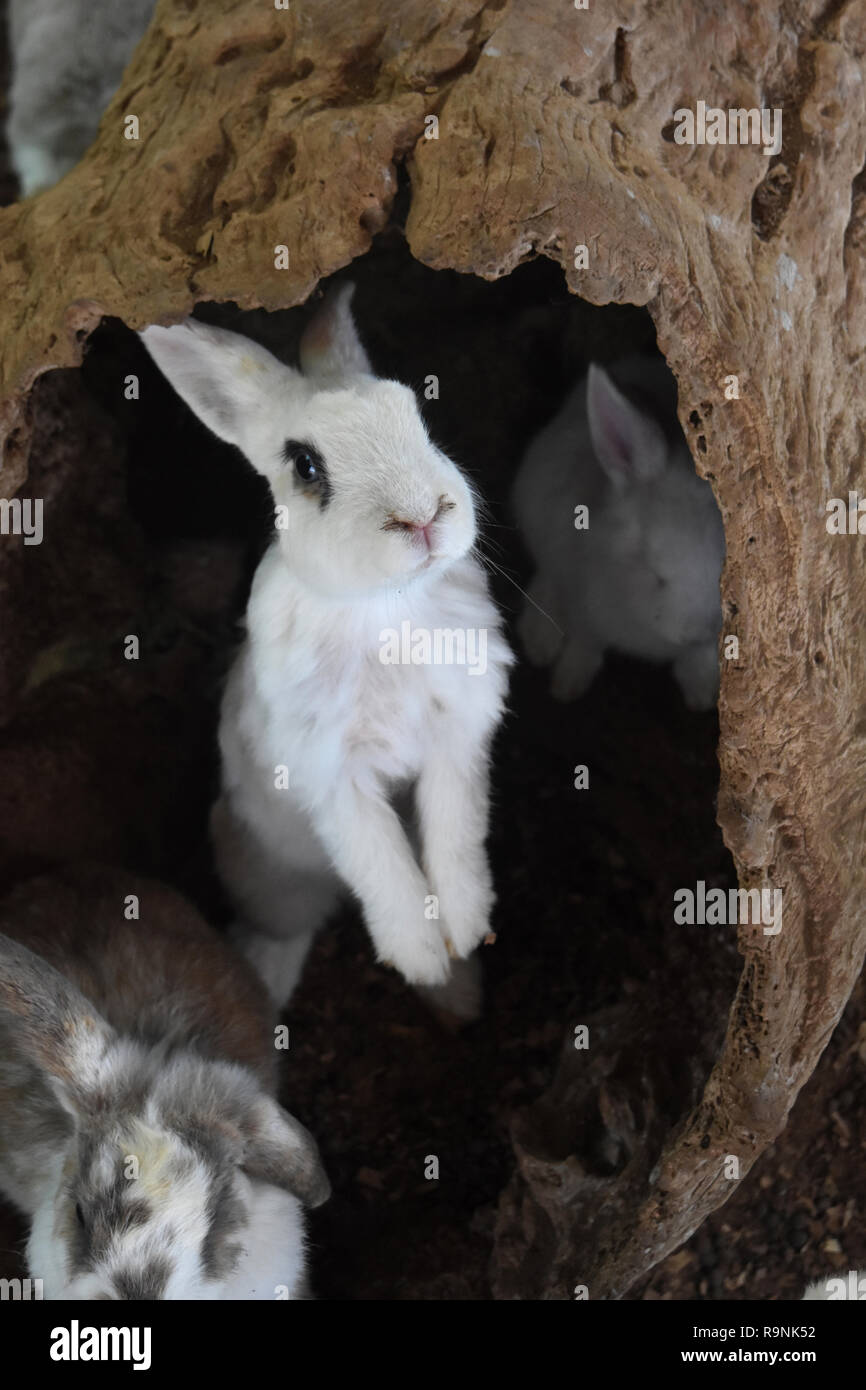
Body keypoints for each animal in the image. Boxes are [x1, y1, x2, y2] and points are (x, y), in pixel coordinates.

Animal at [140, 284, 512, 1013]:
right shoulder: (332, 773)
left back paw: (462, 996)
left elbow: (455, 839)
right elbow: (381, 862)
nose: (423, 516)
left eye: (415, 414)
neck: (383, 608)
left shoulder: (457, 739)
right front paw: (418, 956)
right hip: (265, 867)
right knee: (284, 924)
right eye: (305, 465)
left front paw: (462, 930)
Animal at [512, 356, 725, 711]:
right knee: (545, 578)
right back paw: (539, 642)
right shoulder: (585, 605)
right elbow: (585, 645)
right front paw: (567, 684)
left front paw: (700, 693)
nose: (692, 632)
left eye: (723, 571)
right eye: (654, 569)